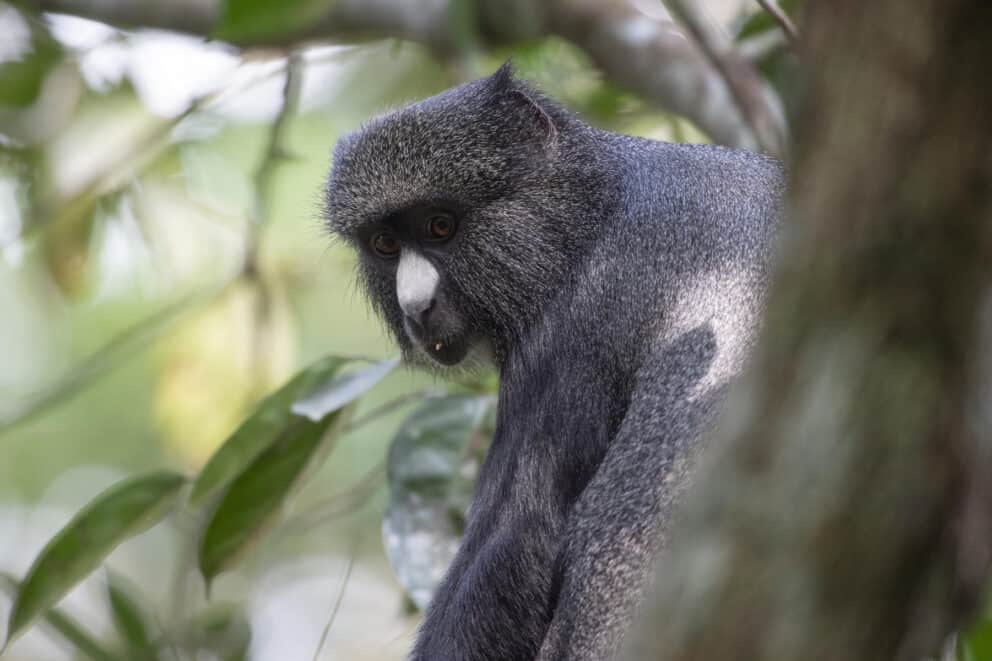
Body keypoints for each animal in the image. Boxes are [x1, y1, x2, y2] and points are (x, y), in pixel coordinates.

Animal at [324, 63, 784, 660]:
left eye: (440, 227)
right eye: (384, 243)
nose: (416, 307)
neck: (595, 202)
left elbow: (519, 534)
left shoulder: (567, 331)